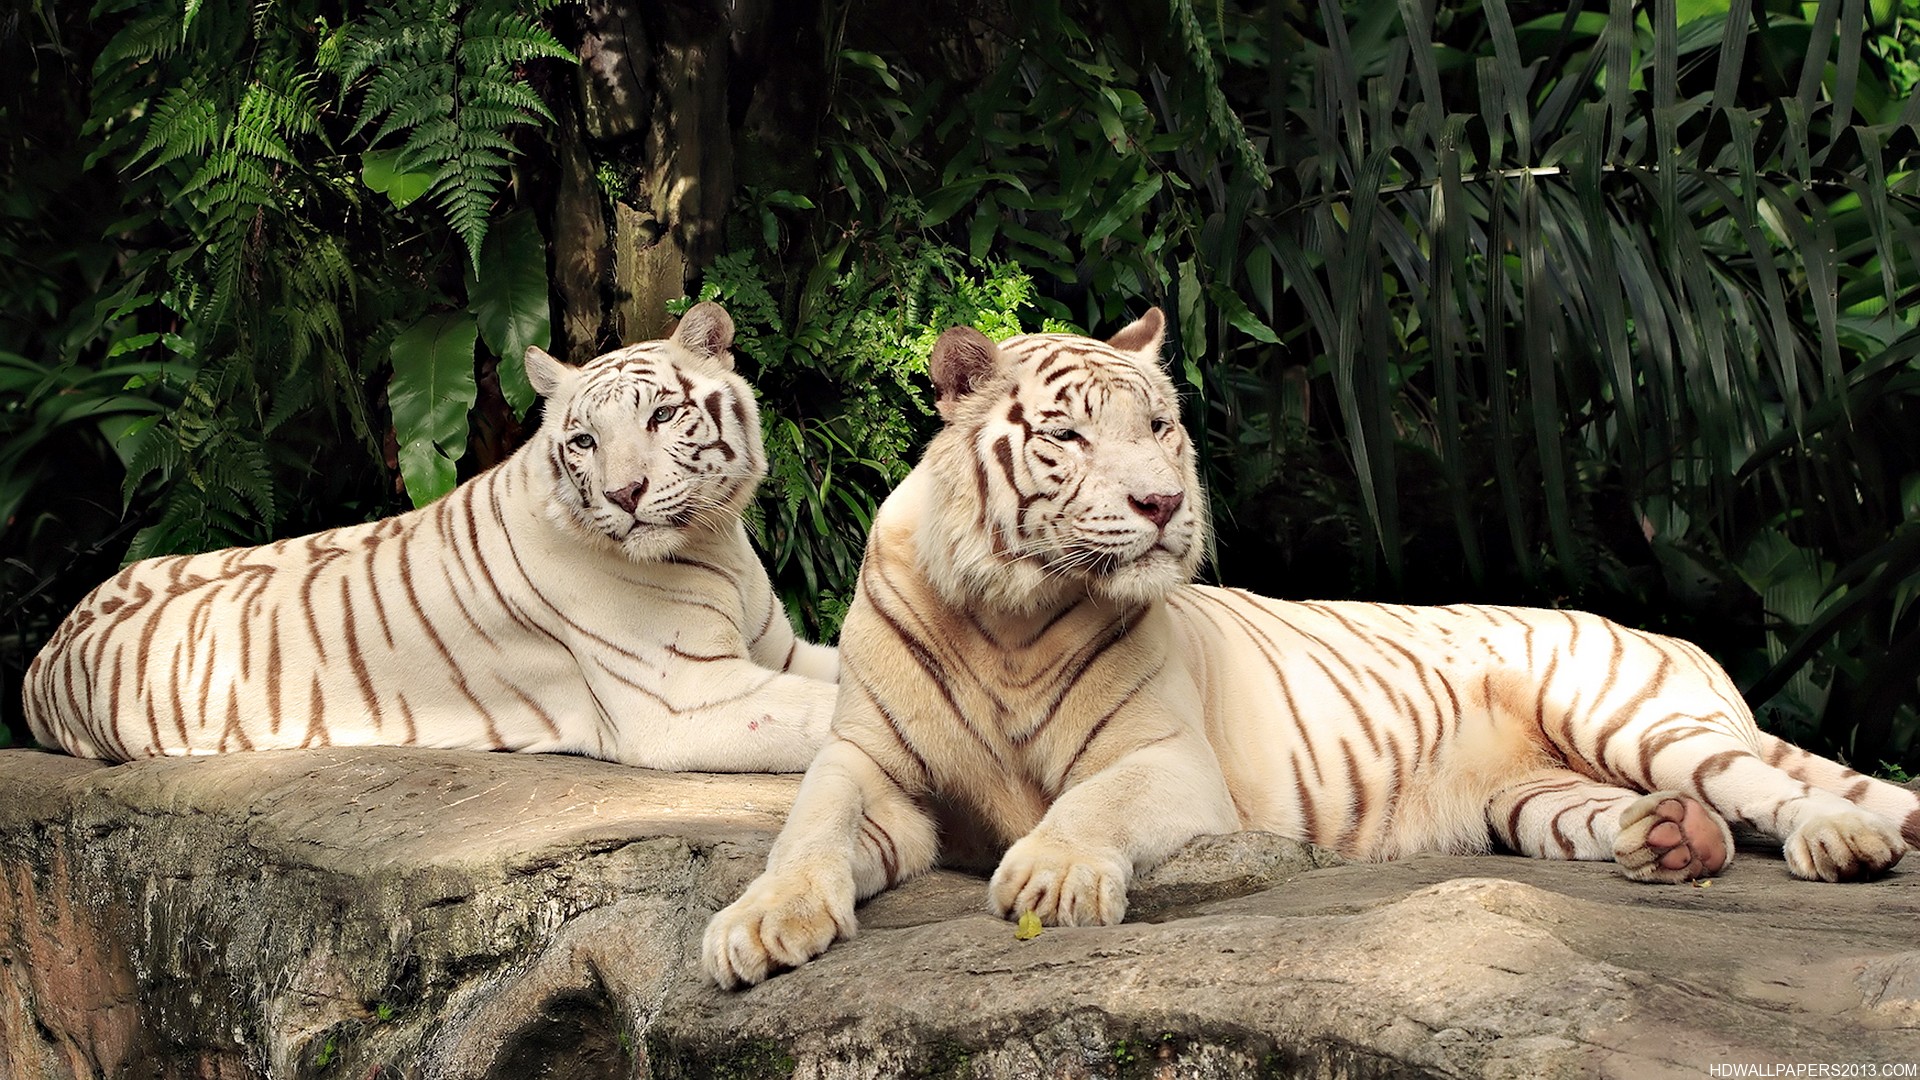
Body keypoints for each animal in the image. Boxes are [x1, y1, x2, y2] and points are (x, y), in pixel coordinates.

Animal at [24, 302, 839, 772]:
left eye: (662, 416)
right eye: (583, 441)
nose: (622, 495)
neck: (713, 540)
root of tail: (44, 654)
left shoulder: (776, 651)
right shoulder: (685, 697)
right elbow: (828, 713)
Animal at [702, 307, 1920, 989]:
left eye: (1159, 427)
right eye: (1068, 437)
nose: (1160, 504)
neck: (1006, 611)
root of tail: (1676, 638)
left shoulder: (1162, 760)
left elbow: (1087, 807)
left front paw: (1052, 873)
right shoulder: (870, 764)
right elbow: (806, 831)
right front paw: (756, 929)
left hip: (1629, 714)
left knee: (1772, 785)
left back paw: (1841, 843)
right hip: (1532, 798)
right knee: (1652, 815)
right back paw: (1673, 843)